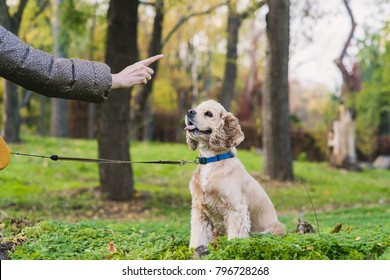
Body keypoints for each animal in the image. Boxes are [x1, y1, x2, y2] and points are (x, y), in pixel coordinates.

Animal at [184, 99, 284, 253]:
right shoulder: (199, 209)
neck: (211, 160)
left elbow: (236, 238)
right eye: (196, 108)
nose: (189, 112)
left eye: (208, 114)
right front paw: (196, 250)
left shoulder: (236, 209)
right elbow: (198, 235)